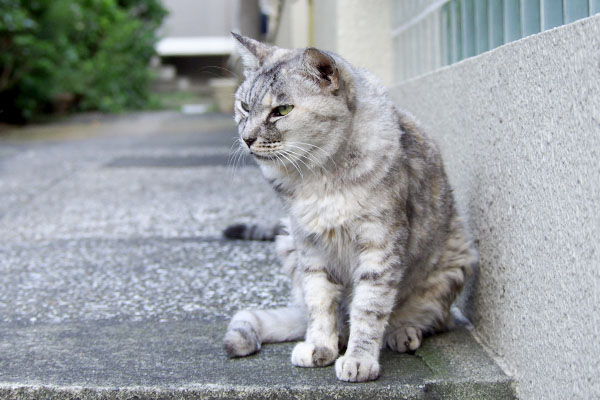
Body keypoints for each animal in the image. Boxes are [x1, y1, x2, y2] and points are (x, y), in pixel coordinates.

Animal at [221, 32, 478, 382]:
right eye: (245, 106)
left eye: (282, 110)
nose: (246, 138)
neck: (319, 176)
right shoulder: (309, 246)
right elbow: (319, 304)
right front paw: (320, 347)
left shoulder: (379, 243)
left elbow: (369, 307)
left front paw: (359, 360)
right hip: (286, 242)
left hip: (452, 262)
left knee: (430, 319)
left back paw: (403, 333)